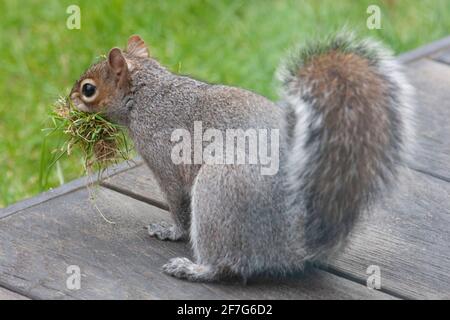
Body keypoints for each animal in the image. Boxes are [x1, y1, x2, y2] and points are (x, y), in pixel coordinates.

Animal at [71, 33, 414, 282]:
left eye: (88, 89)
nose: (69, 98)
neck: (147, 94)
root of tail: (296, 243)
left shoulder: (165, 162)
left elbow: (178, 205)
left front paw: (171, 231)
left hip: (219, 189)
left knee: (226, 264)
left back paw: (192, 268)